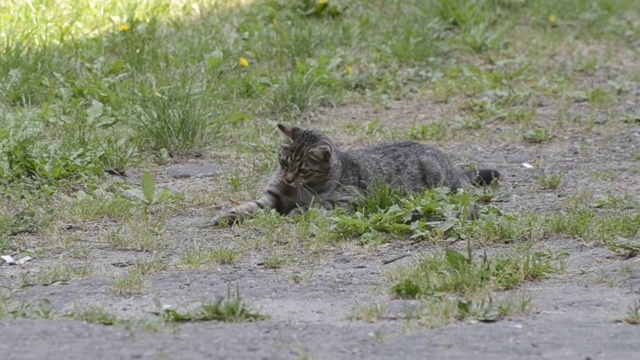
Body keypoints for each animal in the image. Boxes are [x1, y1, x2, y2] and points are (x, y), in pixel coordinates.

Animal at [211, 124, 500, 225]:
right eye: (283, 162)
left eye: (302, 168)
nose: (289, 178)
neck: (297, 190)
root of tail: (451, 165)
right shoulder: (271, 197)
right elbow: (249, 206)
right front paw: (227, 215)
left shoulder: (350, 200)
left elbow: (319, 205)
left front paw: (298, 211)